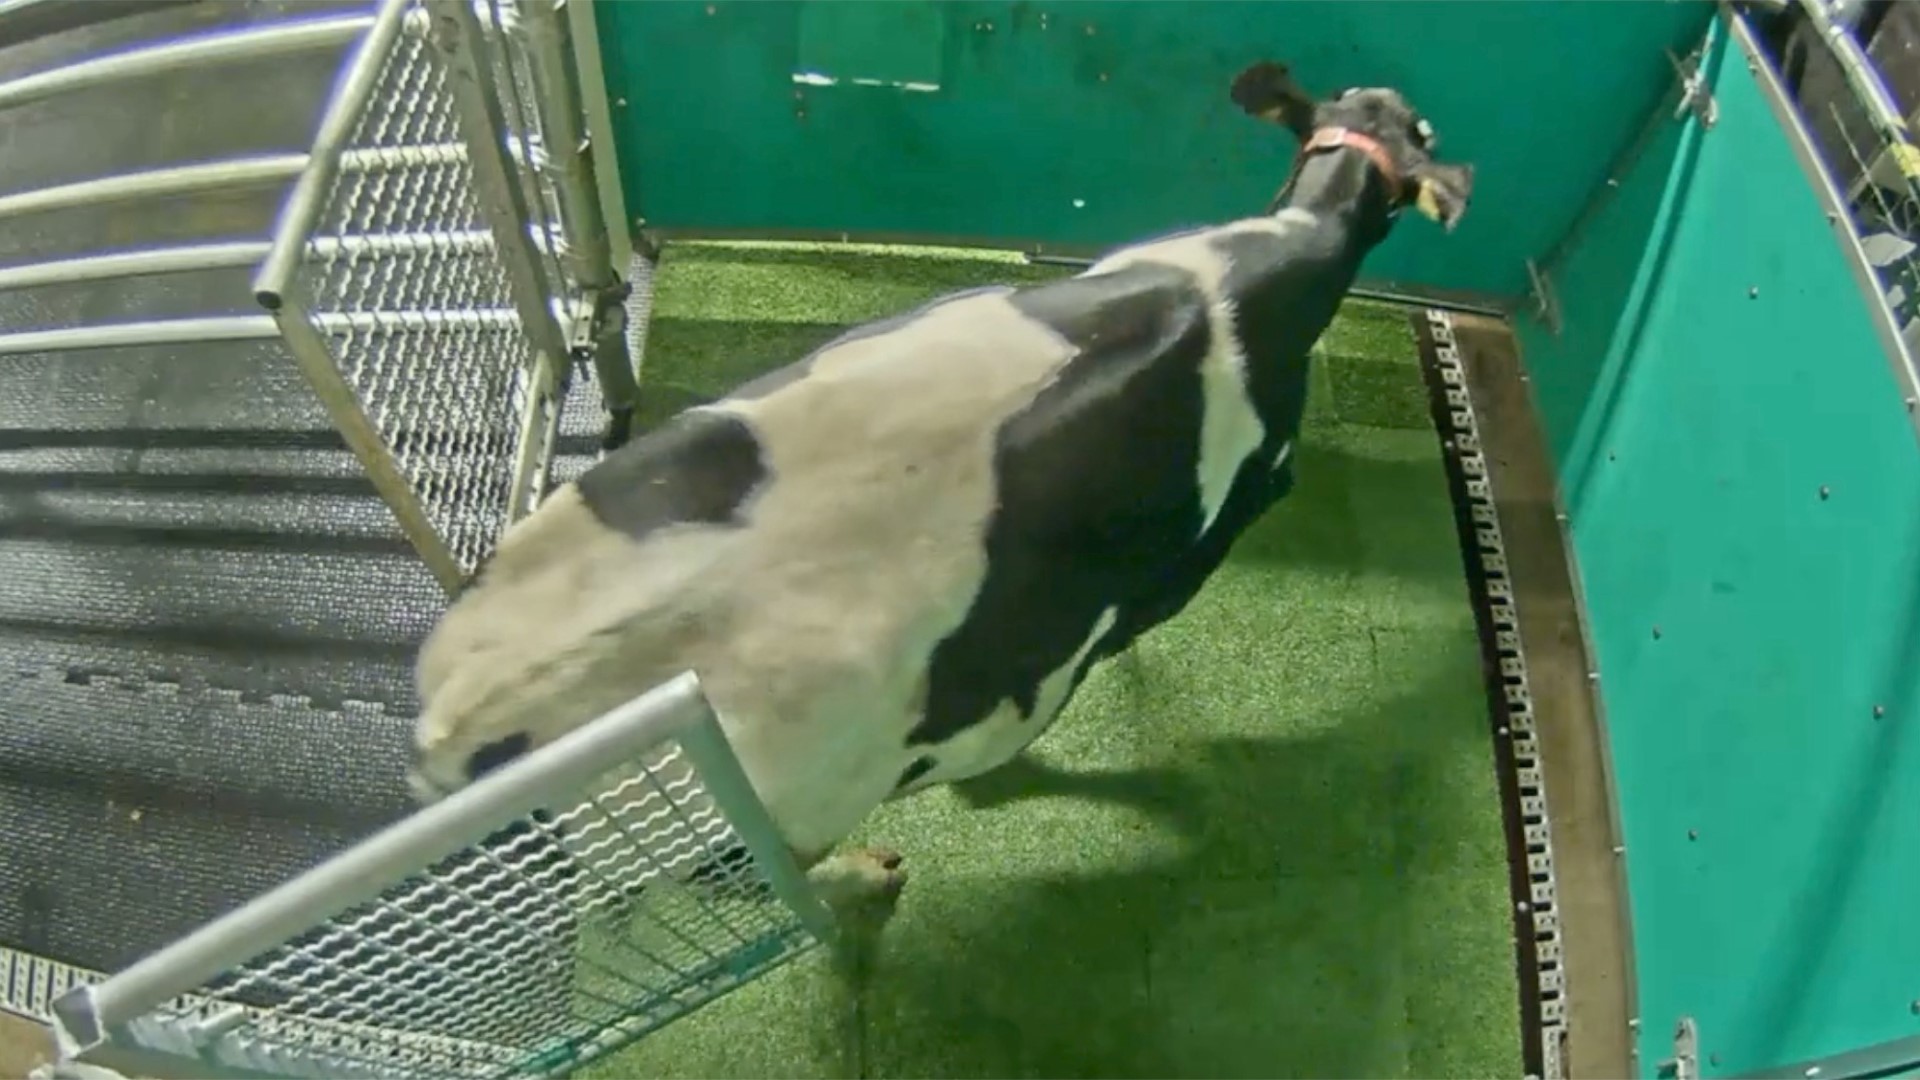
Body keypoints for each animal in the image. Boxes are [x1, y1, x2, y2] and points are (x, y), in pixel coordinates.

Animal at [405, 60, 1474, 931]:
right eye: (1422, 128)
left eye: (1389, 110)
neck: (1264, 269)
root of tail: (469, 716)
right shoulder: (1218, 527)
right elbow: (1123, 636)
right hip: (749, 831)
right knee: (769, 896)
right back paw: (870, 878)